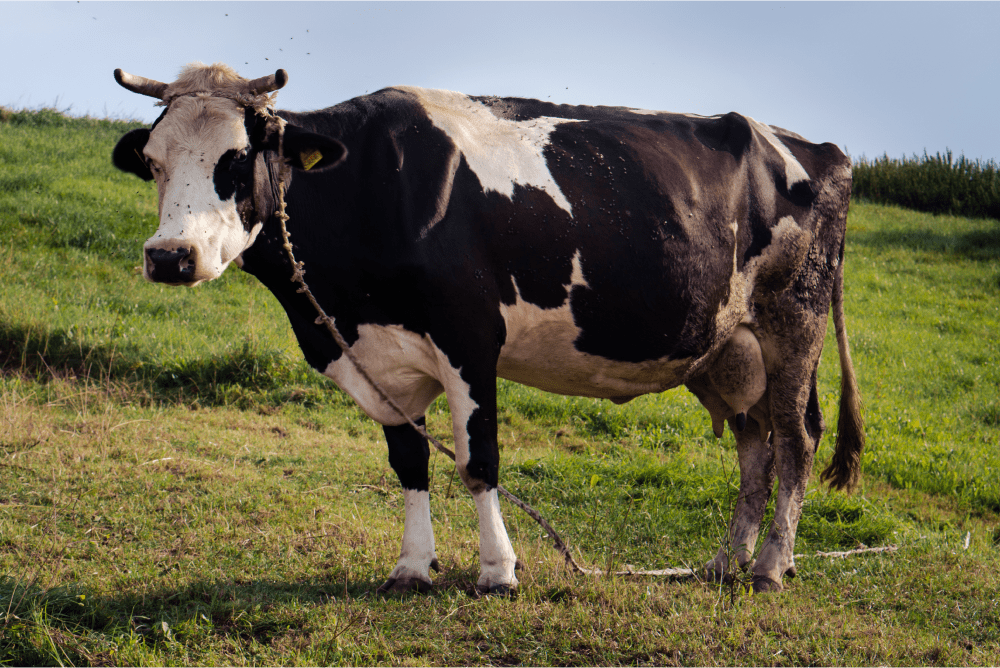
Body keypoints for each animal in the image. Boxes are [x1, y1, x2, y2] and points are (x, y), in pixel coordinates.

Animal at [107, 62, 860, 596]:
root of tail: (819, 149)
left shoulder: (469, 337)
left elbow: (477, 460)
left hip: (793, 323)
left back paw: (769, 567)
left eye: (236, 160)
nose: (169, 257)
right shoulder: (377, 355)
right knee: (756, 448)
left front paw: (499, 572)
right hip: (727, 348)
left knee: (796, 441)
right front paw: (413, 567)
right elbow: (409, 461)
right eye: (154, 162)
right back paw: (725, 562)